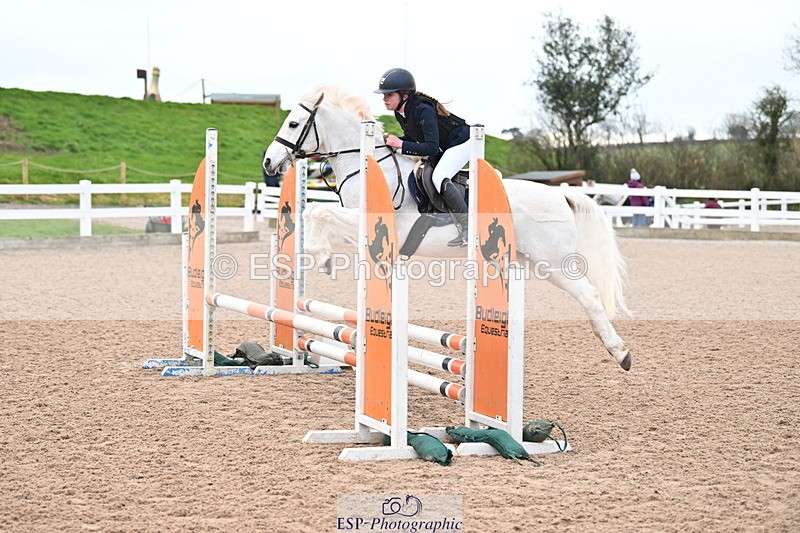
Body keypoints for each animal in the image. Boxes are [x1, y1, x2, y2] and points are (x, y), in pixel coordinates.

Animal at [262, 84, 633, 371]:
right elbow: (318, 216)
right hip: (534, 263)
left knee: (589, 295)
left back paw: (620, 352)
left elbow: (317, 213)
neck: (369, 164)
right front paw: (322, 257)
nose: (268, 161)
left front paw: (322, 256)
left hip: (552, 261)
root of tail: (561, 194)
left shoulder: (367, 218)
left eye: (293, 123)